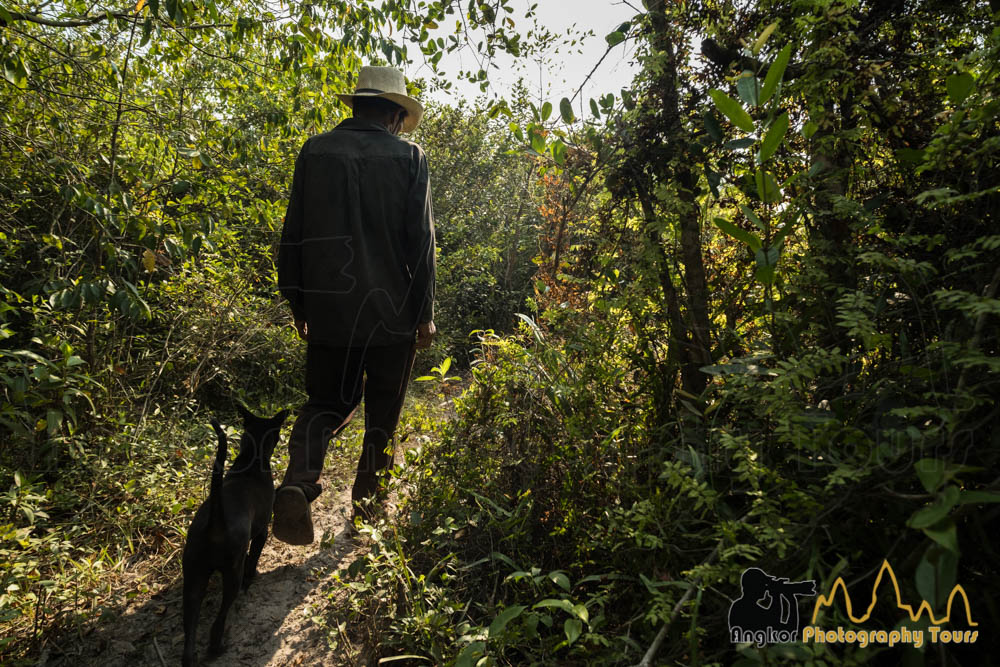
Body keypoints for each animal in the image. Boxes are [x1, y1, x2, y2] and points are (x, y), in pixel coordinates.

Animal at [183, 408, 288, 667]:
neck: (251, 460)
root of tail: (215, 519)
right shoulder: (261, 533)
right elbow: (254, 559)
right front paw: (253, 576)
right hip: (231, 573)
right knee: (219, 620)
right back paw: (217, 648)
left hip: (193, 575)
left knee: (189, 632)